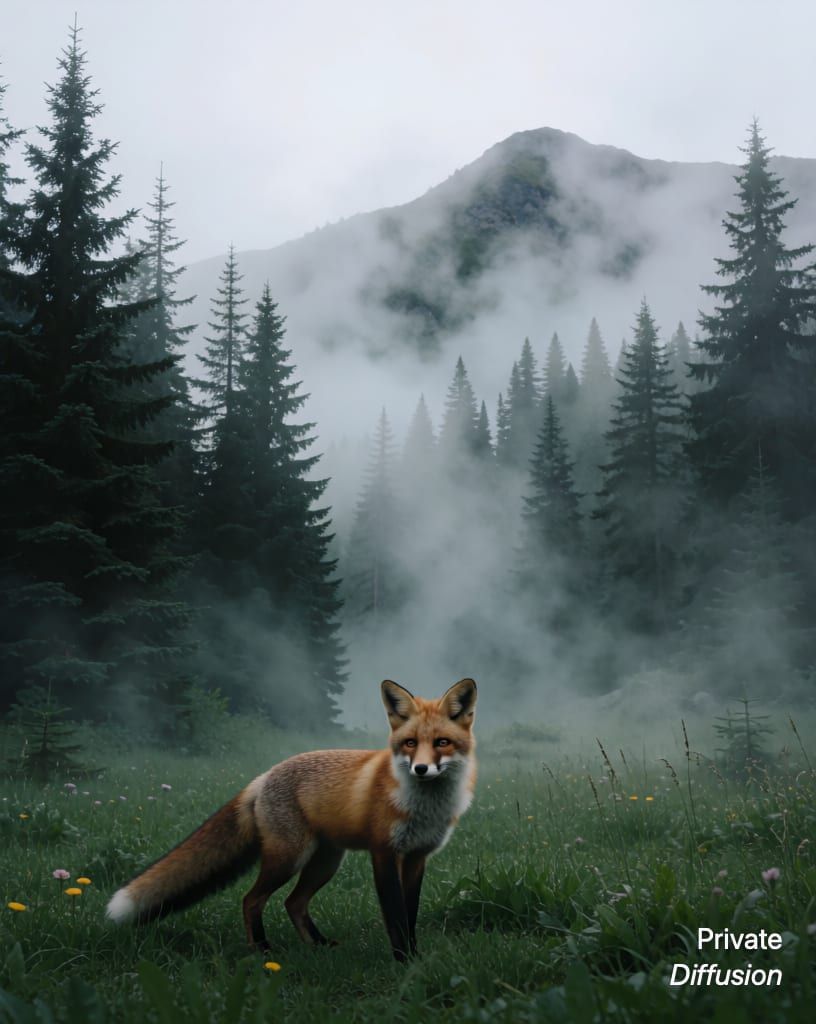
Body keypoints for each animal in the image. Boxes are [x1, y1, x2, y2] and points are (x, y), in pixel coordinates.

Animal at [106, 677, 477, 962]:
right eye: (410, 743)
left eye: (442, 743)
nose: (421, 769)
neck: (423, 807)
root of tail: (264, 775)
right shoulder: (383, 854)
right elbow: (396, 915)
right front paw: (403, 961)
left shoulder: (416, 857)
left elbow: (410, 914)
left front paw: (414, 956)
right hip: (288, 858)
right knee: (252, 900)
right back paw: (262, 950)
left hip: (325, 862)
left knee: (293, 902)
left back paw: (318, 945)